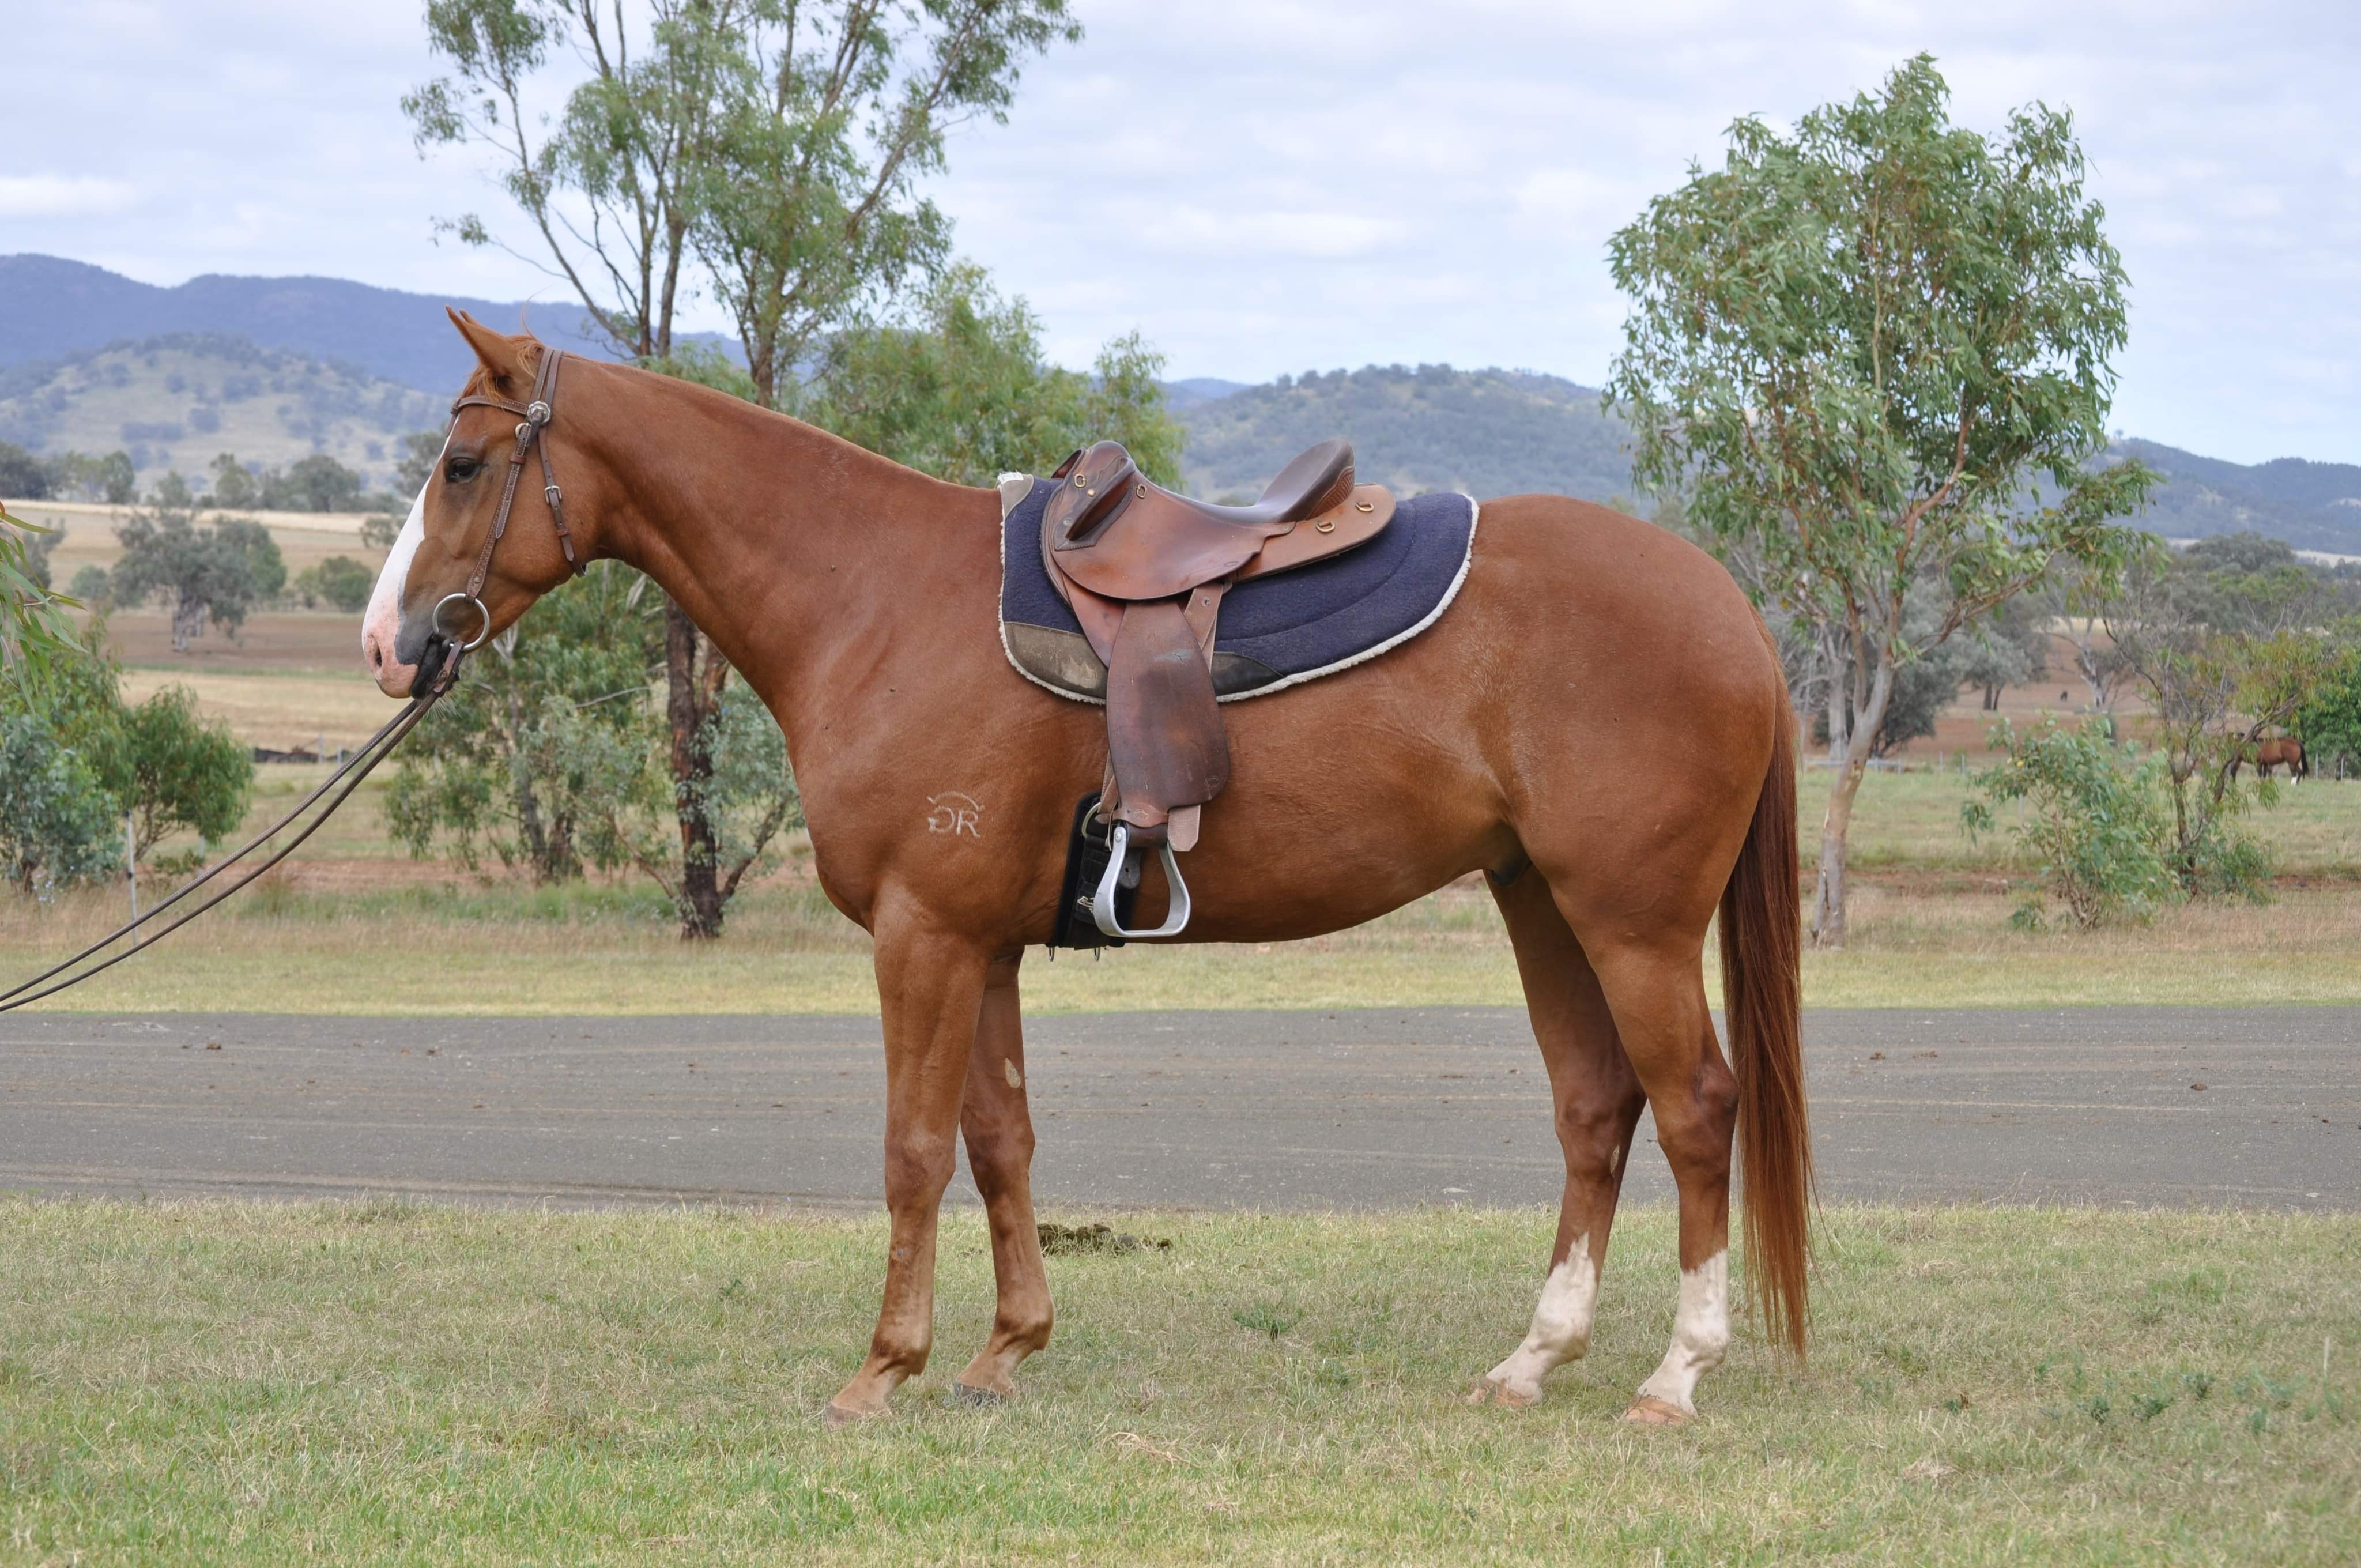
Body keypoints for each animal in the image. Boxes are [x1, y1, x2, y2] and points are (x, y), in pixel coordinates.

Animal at [363, 314, 1811, 1429]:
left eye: (463, 463)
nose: (388, 642)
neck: (871, 595)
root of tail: (1728, 605)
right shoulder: (983, 941)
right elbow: (998, 1139)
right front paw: (1004, 1350)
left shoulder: (924, 934)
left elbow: (911, 1150)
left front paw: (882, 1369)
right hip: (1541, 903)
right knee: (1594, 1107)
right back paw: (1532, 1359)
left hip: (1630, 919)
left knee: (1695, 1107)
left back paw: (1674, 1375)